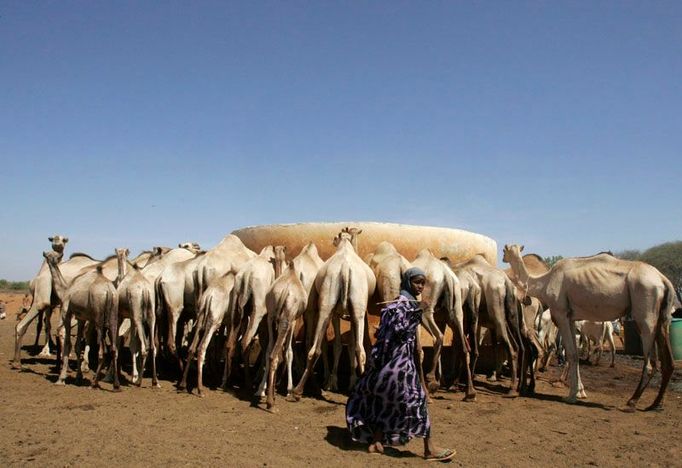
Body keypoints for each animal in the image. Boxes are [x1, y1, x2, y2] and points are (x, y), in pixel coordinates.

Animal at [42, 252, 119, 388]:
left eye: (50, 255)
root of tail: (109, 291)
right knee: (113, 348)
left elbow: (68, 343)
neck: (65, 290)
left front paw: (61, 379)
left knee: (102, 350)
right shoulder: (82, 318)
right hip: (113, 314)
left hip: (99, 318)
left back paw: (94, 383)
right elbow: (78, 346)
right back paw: (116, 385)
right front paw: (78, 377)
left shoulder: (66, 313)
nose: (44, 253)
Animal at [114, 247, 158, 386]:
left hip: (137, 315)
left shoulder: (122, 315)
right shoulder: (132, 317)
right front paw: (134, 375)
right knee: (152, 347)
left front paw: (134, 376)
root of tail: (145, 290)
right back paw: (155, 381)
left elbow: (128, 344)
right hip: (150, 314)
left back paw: (139, 381)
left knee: (144, 348)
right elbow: (134, 345)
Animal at [292, 231, 378, 398]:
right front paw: (336, 382)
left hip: (324, 305)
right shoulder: (342, 315)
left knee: (313, 347)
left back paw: (299, 389)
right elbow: (345, 345)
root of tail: (344, 268)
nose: (333, 240)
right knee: (360, 349)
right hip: (352, 307)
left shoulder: (338, 314)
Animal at [412, 249, 476, 398]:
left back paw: (431, 379)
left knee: (438, 337)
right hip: (456, 311)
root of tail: (447, 276)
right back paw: (469, 392)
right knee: (464, 346)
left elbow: (418, 348)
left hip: (425, 309)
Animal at [502, 243, 672, 412]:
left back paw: (632, 401)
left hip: (645, 312)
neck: (544, 281)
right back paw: (656, 404)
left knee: (650, 362)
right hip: (662, 318)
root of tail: (664, 280)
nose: (503, 258)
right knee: (667, 361)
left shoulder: (561, 313)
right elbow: (575, 354)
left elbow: (571, 353)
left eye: (505, 250)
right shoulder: (571, 318)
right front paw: (580, 392)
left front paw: (571, 396)